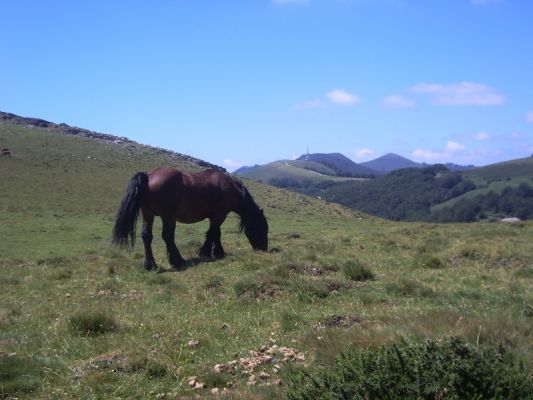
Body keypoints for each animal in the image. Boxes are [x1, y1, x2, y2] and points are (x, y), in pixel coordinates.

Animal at [112, 167, 270, 270]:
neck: (231, 187)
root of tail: (148, 176)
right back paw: (179, 261)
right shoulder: (219, 215)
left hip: (148, 214)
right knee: (167, 236)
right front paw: (210, 252)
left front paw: (215, 252)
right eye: (263, 228)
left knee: (147, 236)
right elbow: (213, 233)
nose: (263, 248)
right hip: (168, 216)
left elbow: (215, 233)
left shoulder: (215, 216)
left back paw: (150, 265)